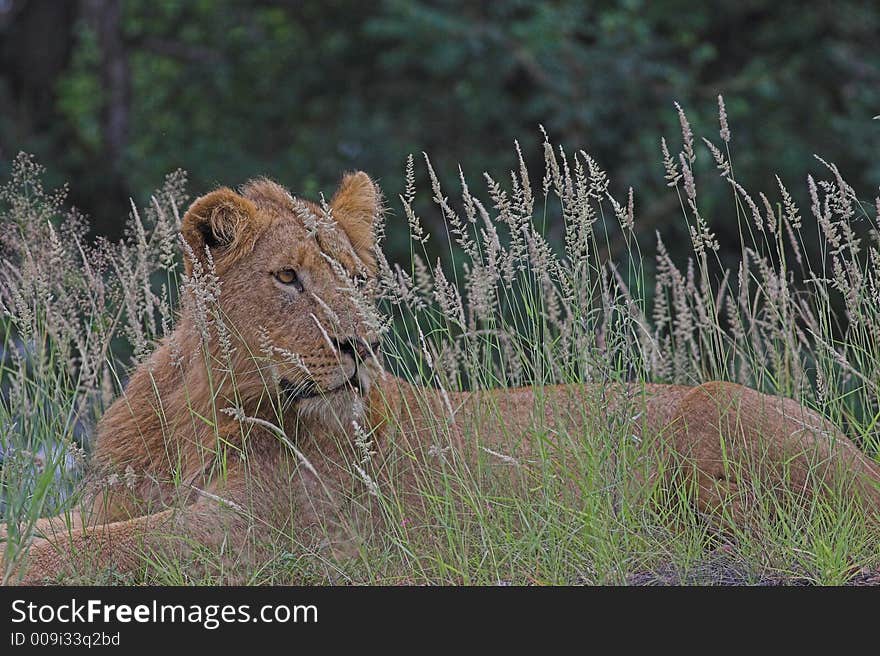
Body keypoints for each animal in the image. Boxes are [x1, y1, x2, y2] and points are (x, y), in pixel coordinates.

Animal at [1, 173, 880, 584]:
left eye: (357, 276)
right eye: (288, 278)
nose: (360, 345)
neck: (202, 409)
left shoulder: (255, 537)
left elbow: (86, 550)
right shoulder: (115, 498)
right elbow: (47, 529)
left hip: (715, 410)